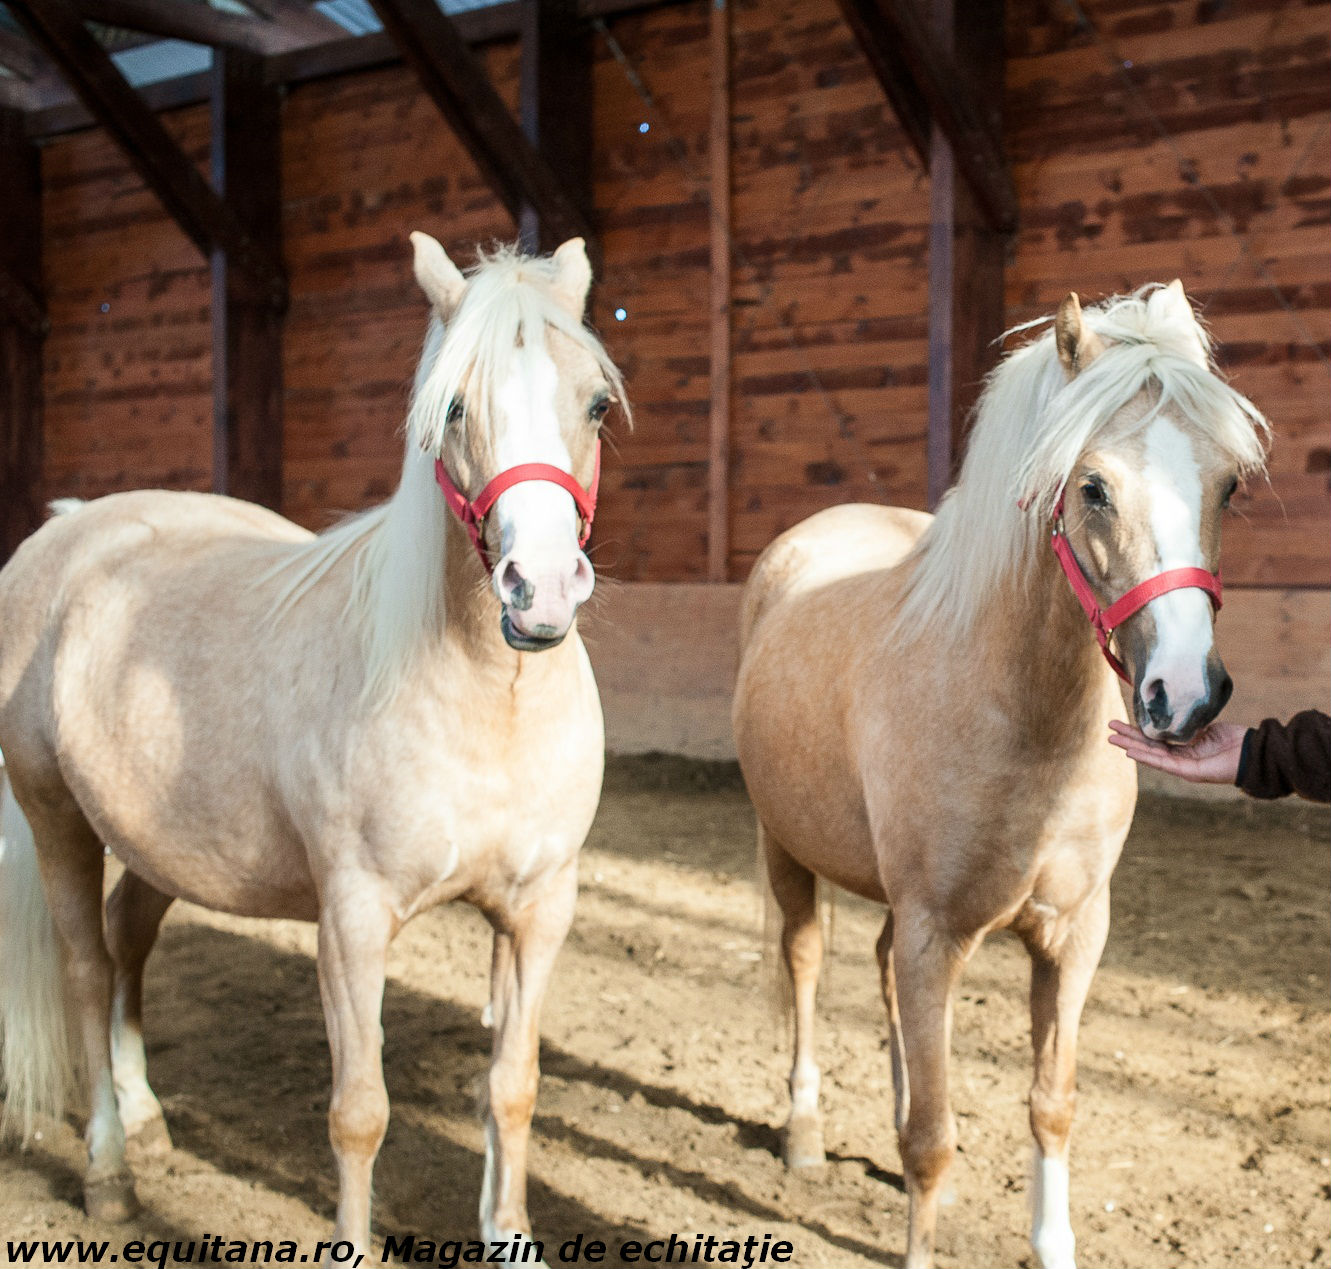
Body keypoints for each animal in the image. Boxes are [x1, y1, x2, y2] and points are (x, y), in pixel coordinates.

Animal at [0, 233, 625, 1251]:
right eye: (454, 406)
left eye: (596, 403)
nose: (538, 588)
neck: (483, 701)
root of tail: (65, 529)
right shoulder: (353, 920)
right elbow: (359, 1110)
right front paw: (353, 1248)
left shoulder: (539, 909)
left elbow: (512, 1088)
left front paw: (509, 1237)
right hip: (55, 817)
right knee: (88, 971)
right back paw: (108, 1170)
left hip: (160, 843)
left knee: (127, 945)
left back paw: (147, 1120)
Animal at [740, 284, 1267, 1267]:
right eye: (1092, 487)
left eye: (1227, 484)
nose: (1184, 695)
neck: (1021, 723)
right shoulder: (934, 932)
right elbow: (932, 1140)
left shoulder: (1071, 934)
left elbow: (1049, 1105)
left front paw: (1051, 1241)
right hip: (785, 850)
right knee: (804, 962)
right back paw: (802, 1130)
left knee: (878, 976)